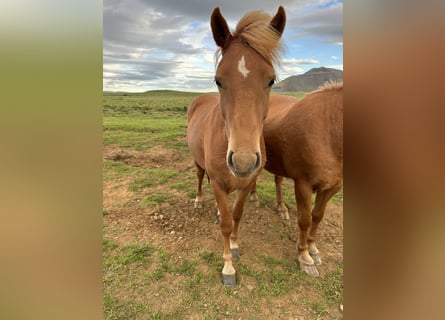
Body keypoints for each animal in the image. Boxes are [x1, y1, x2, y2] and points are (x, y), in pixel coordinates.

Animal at [186, 5, 284, 284]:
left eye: (271, 80)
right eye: (218, 80)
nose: (243, 162)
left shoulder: (247, 183)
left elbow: (237, 215)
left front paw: (236, 245)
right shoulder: (219, 184)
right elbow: (226, 225)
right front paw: (228, 266)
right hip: (197, 163)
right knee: (200, 178)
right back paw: (198, 201)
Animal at [251, 82, 342, 278]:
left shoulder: (331, 187)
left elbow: (317, 216)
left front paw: (313, 248)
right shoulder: (303, 184)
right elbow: (305, 219)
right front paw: (304, 256)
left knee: (278, 181)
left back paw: (281, 208)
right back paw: (254, 197)